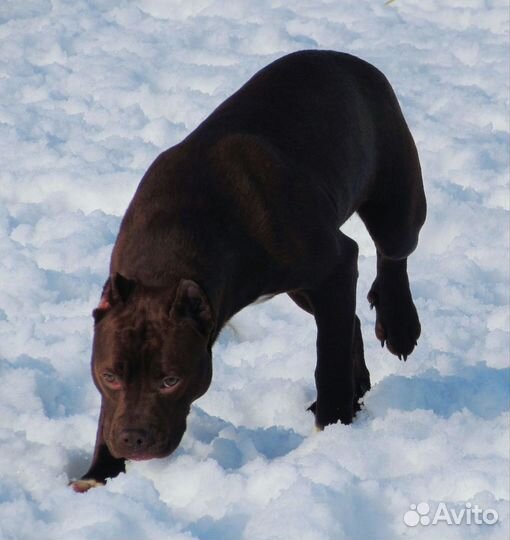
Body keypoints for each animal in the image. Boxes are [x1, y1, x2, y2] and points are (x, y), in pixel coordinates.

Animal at [69, 48, 424, 492]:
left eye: (170, 380)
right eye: (110, 376)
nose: (134, 438)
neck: (167, 261)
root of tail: (341, 57)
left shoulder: (336, 262)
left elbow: (328, 359)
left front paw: (331, 428)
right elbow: (105, 412)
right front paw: (99, 474)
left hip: (395, 198)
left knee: (392, 254)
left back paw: (398, 323)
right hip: (303, 289)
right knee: (348, 318)